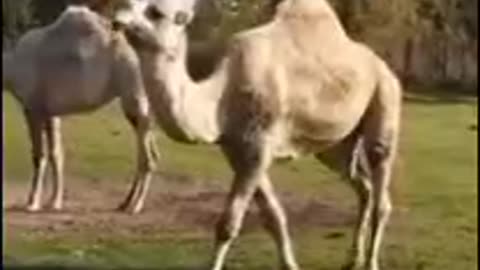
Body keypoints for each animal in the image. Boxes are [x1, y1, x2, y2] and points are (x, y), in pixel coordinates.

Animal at [2, 5, 159, 214]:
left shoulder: (32, 108)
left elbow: (39, 155)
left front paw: (32, 203)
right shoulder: (50, 112)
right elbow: (56, 154)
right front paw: (55, 202)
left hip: (135, 97)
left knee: (147, 158)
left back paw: (135, 206)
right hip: (141, 106)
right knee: (149, 152)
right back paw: (125, 203)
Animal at [114, 1, 404, 268]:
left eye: (155, 12)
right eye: (128, 3)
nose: (117, 20)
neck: (221, 98)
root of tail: (384, 66)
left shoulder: (258, 148)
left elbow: (227, 225)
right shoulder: (238, 151)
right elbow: (274, 217)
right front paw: (290, 264)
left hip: (385, 96)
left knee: (381, 187)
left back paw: (371, 262)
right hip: (334, 146)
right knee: (363, 186)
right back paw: (353, 259)